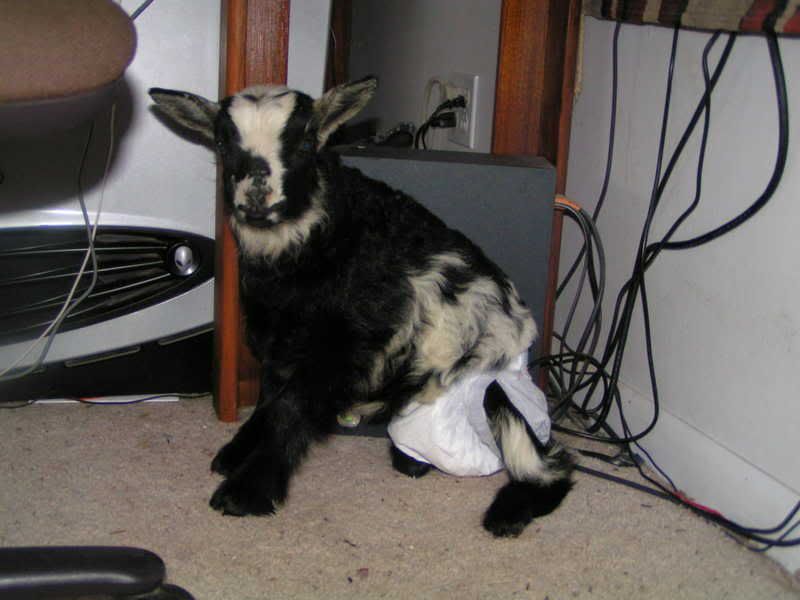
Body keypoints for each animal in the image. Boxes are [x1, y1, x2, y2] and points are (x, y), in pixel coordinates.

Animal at [149, 78, 573, 537]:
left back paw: (507, 513)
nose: (258, 200)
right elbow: (269, 396)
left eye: (305, 143)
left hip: (490, 383)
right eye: (224, 143)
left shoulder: (347, 339)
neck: (318, 240)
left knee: (546, 462)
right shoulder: (279, 335)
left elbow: (291, 406)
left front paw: (249, 489)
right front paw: (236, 452)